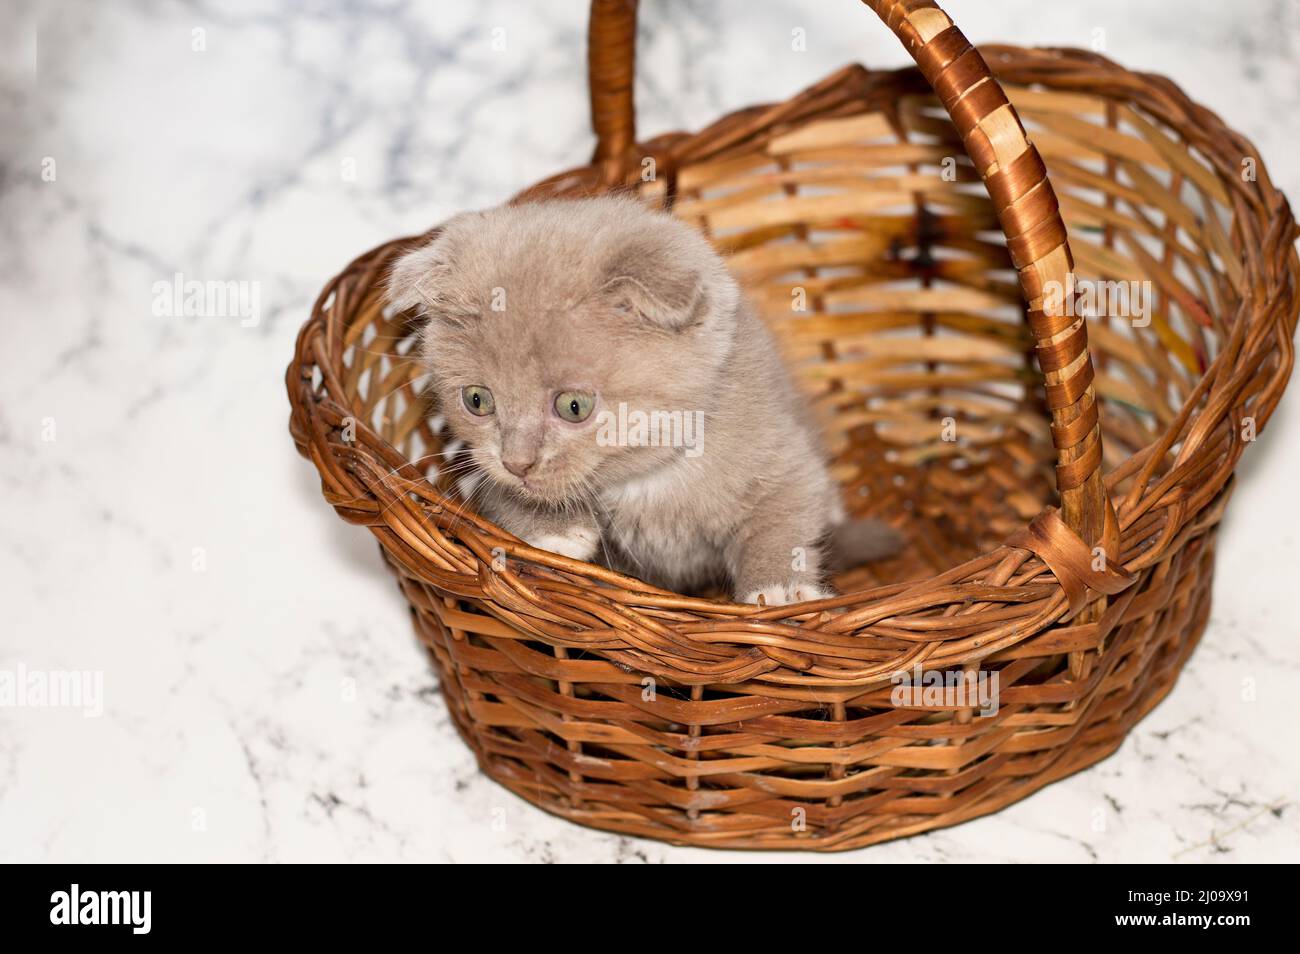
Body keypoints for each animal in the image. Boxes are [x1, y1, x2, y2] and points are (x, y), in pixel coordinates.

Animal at [384, 197, 894, 608]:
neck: (648, 484)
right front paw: (554, 530)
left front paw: (781, 590)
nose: (518, 462)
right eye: (477, 400)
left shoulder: (779, 449)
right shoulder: (481, 470)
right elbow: (501, 491)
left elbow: (784, 513)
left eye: (574, 406)